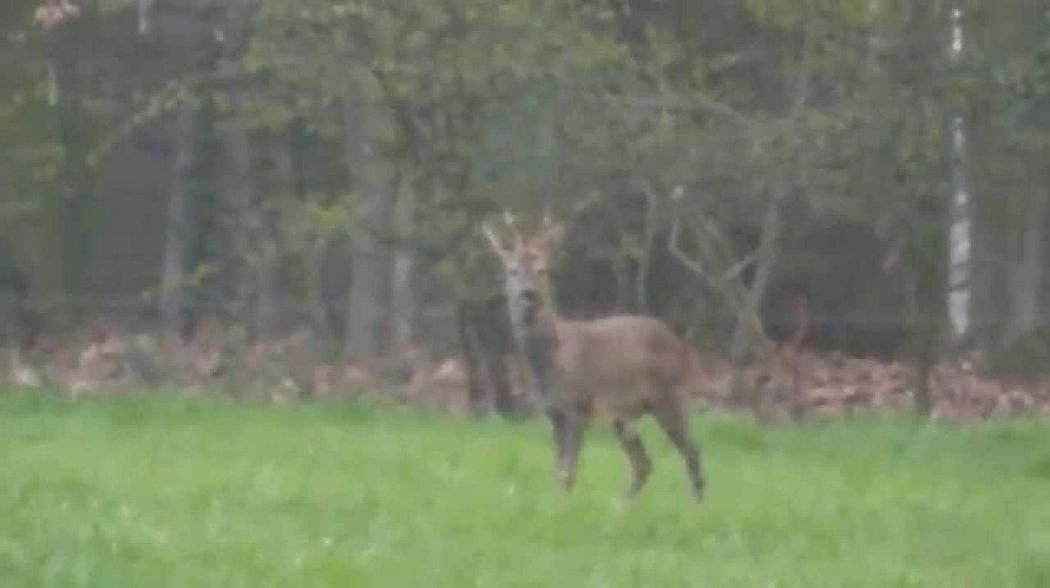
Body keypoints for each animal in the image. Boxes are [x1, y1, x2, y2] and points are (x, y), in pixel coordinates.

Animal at [482, 211, 705, 499]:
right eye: (512, 271)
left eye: (542, 270)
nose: (528, 295)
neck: (552, 360)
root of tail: (679, 342)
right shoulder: (553, 413)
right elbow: (558, 469)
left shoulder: (579, 405)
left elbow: (567, 472)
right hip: (622, 414)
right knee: (643, 463)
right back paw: (622, 505)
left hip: (668, 395)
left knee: (691, 450)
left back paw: (696, 504)